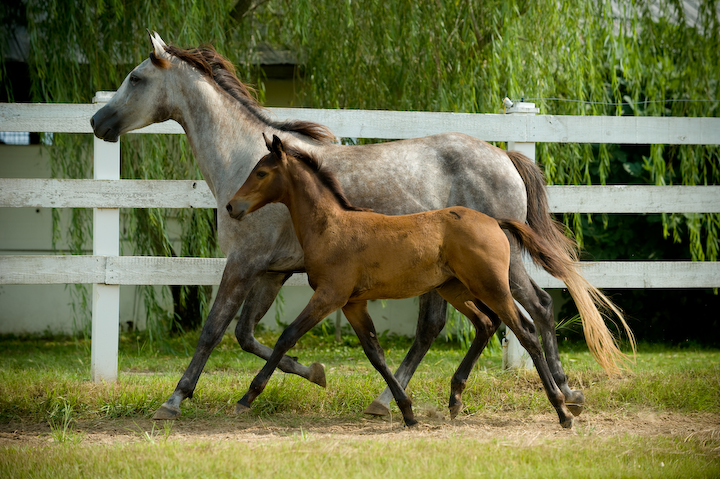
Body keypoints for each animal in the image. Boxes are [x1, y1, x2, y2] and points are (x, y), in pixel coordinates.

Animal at [228, 134, 584, 428]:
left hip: (492, 286)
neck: (331, 226)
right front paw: (406, 411)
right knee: (487, 323)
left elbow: (287, 337)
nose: (232, 206)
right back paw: (458, 398)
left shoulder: (330, 295)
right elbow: (375, 353)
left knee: (527, 328)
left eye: (261, 173)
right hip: (455, 288)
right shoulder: (353, 303)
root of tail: (495, 221)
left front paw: (247, 397)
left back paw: (562, 408)